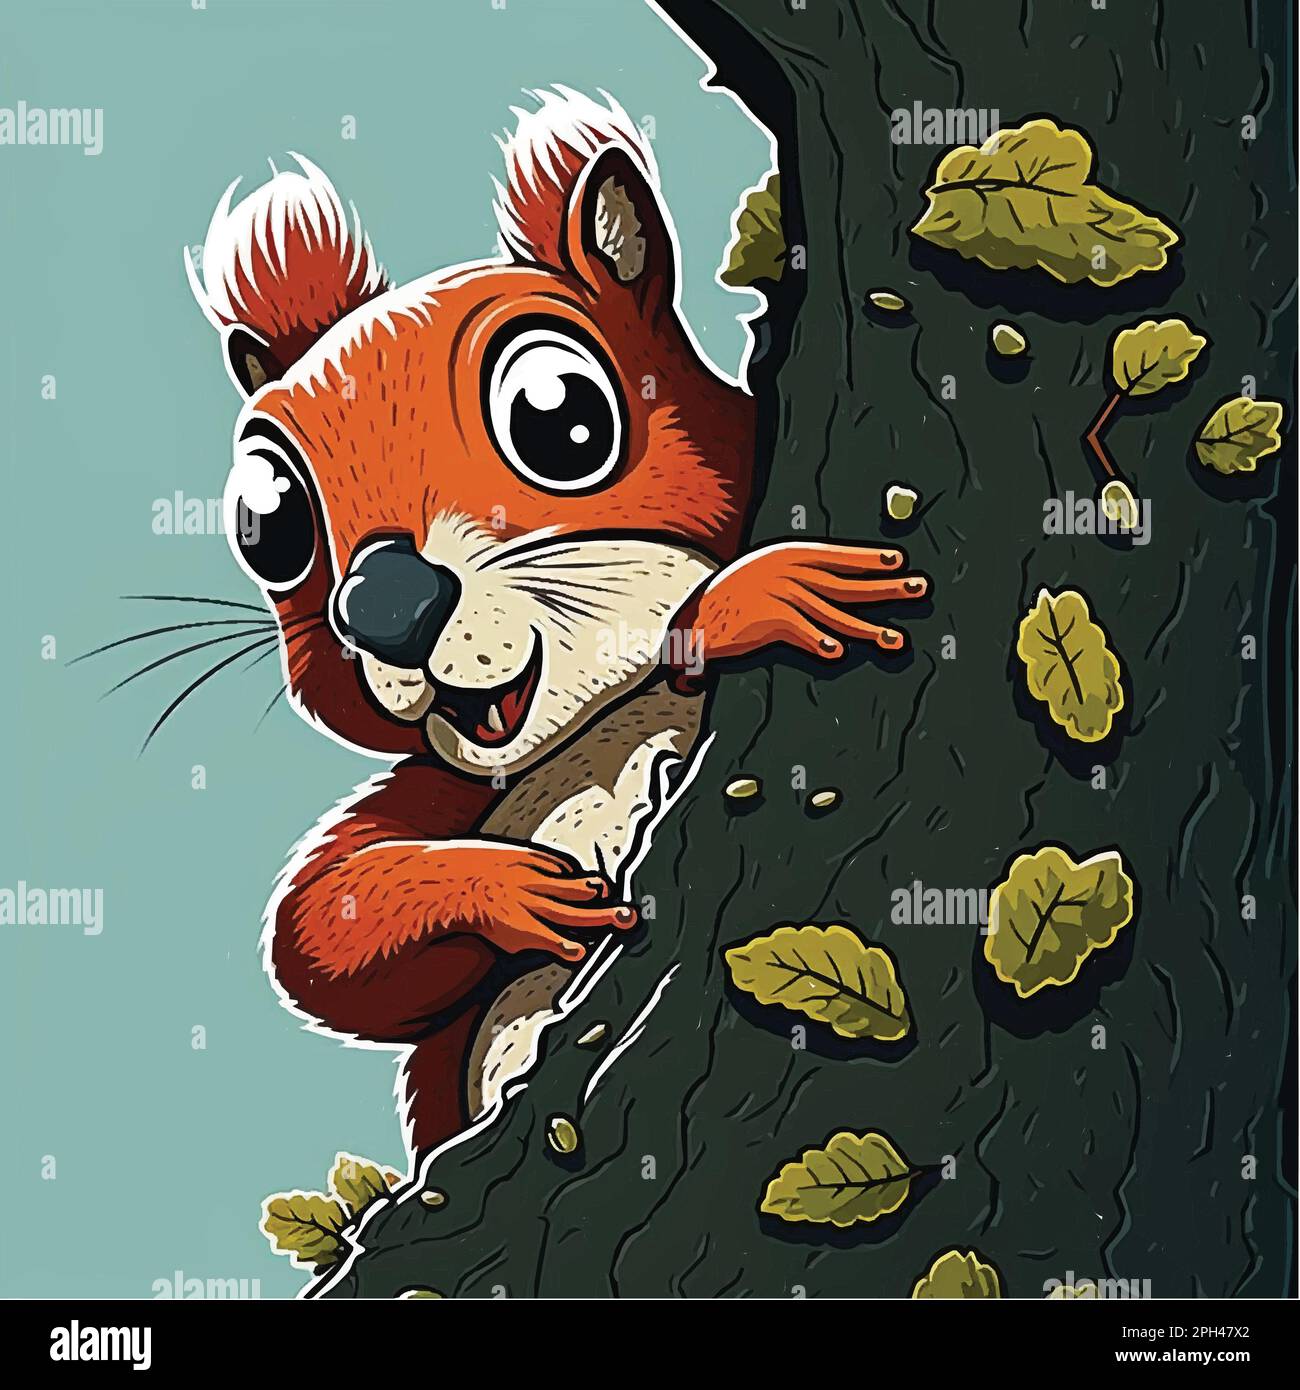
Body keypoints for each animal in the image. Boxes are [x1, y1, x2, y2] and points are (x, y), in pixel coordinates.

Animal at [186, 89, 927, 1159]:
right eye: (267, 519)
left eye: (562, 418)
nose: (386, 605)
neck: (591, 732)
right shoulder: (449, 791)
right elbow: (322, 931)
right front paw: (511, 890)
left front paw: (740, 601)